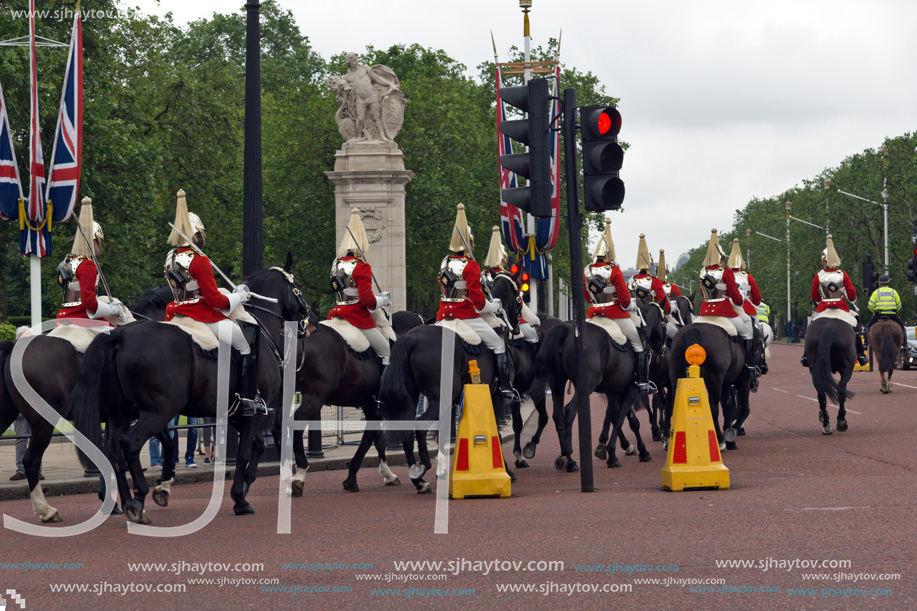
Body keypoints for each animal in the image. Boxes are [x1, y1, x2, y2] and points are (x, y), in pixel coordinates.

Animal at [66, 266, 308, 524]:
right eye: (298, 287)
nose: (308, 319)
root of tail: (119, 336)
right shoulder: (255, 411)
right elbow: (243, 452)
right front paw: (239, 498)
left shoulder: (236, 412)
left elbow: (258, 445)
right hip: (158, 411)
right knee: (129, 444)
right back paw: (137, 500)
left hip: (122, 413)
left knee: (113, 451)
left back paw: (127, 501)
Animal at [528, 304, 664, 476]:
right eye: (664, 321)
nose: (663, 348)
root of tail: (565, 328)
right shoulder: (630, 390)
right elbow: (624, 420)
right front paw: (623, 453)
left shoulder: (613, 390)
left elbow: (613, 415)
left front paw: (604, 447)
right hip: (586, 384)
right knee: (570, 411)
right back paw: (569, 456)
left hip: (557, 382)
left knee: (558, 415)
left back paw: (566, 459)